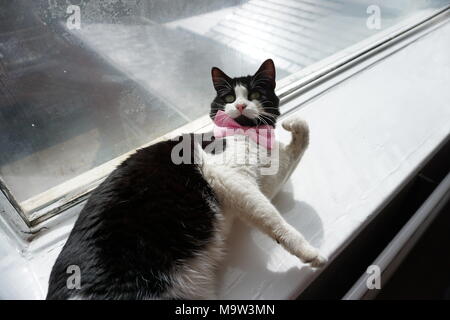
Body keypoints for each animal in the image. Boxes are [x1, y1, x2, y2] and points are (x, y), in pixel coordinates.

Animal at [45, 59, 326, 300]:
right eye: (229, 98)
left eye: (255, 95)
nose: (240, 106)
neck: (247, 135)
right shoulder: (231, 179)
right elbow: (271, 217)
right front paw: (310, 252)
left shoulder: (259, 185)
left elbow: (296, 149)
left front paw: (294, 125)